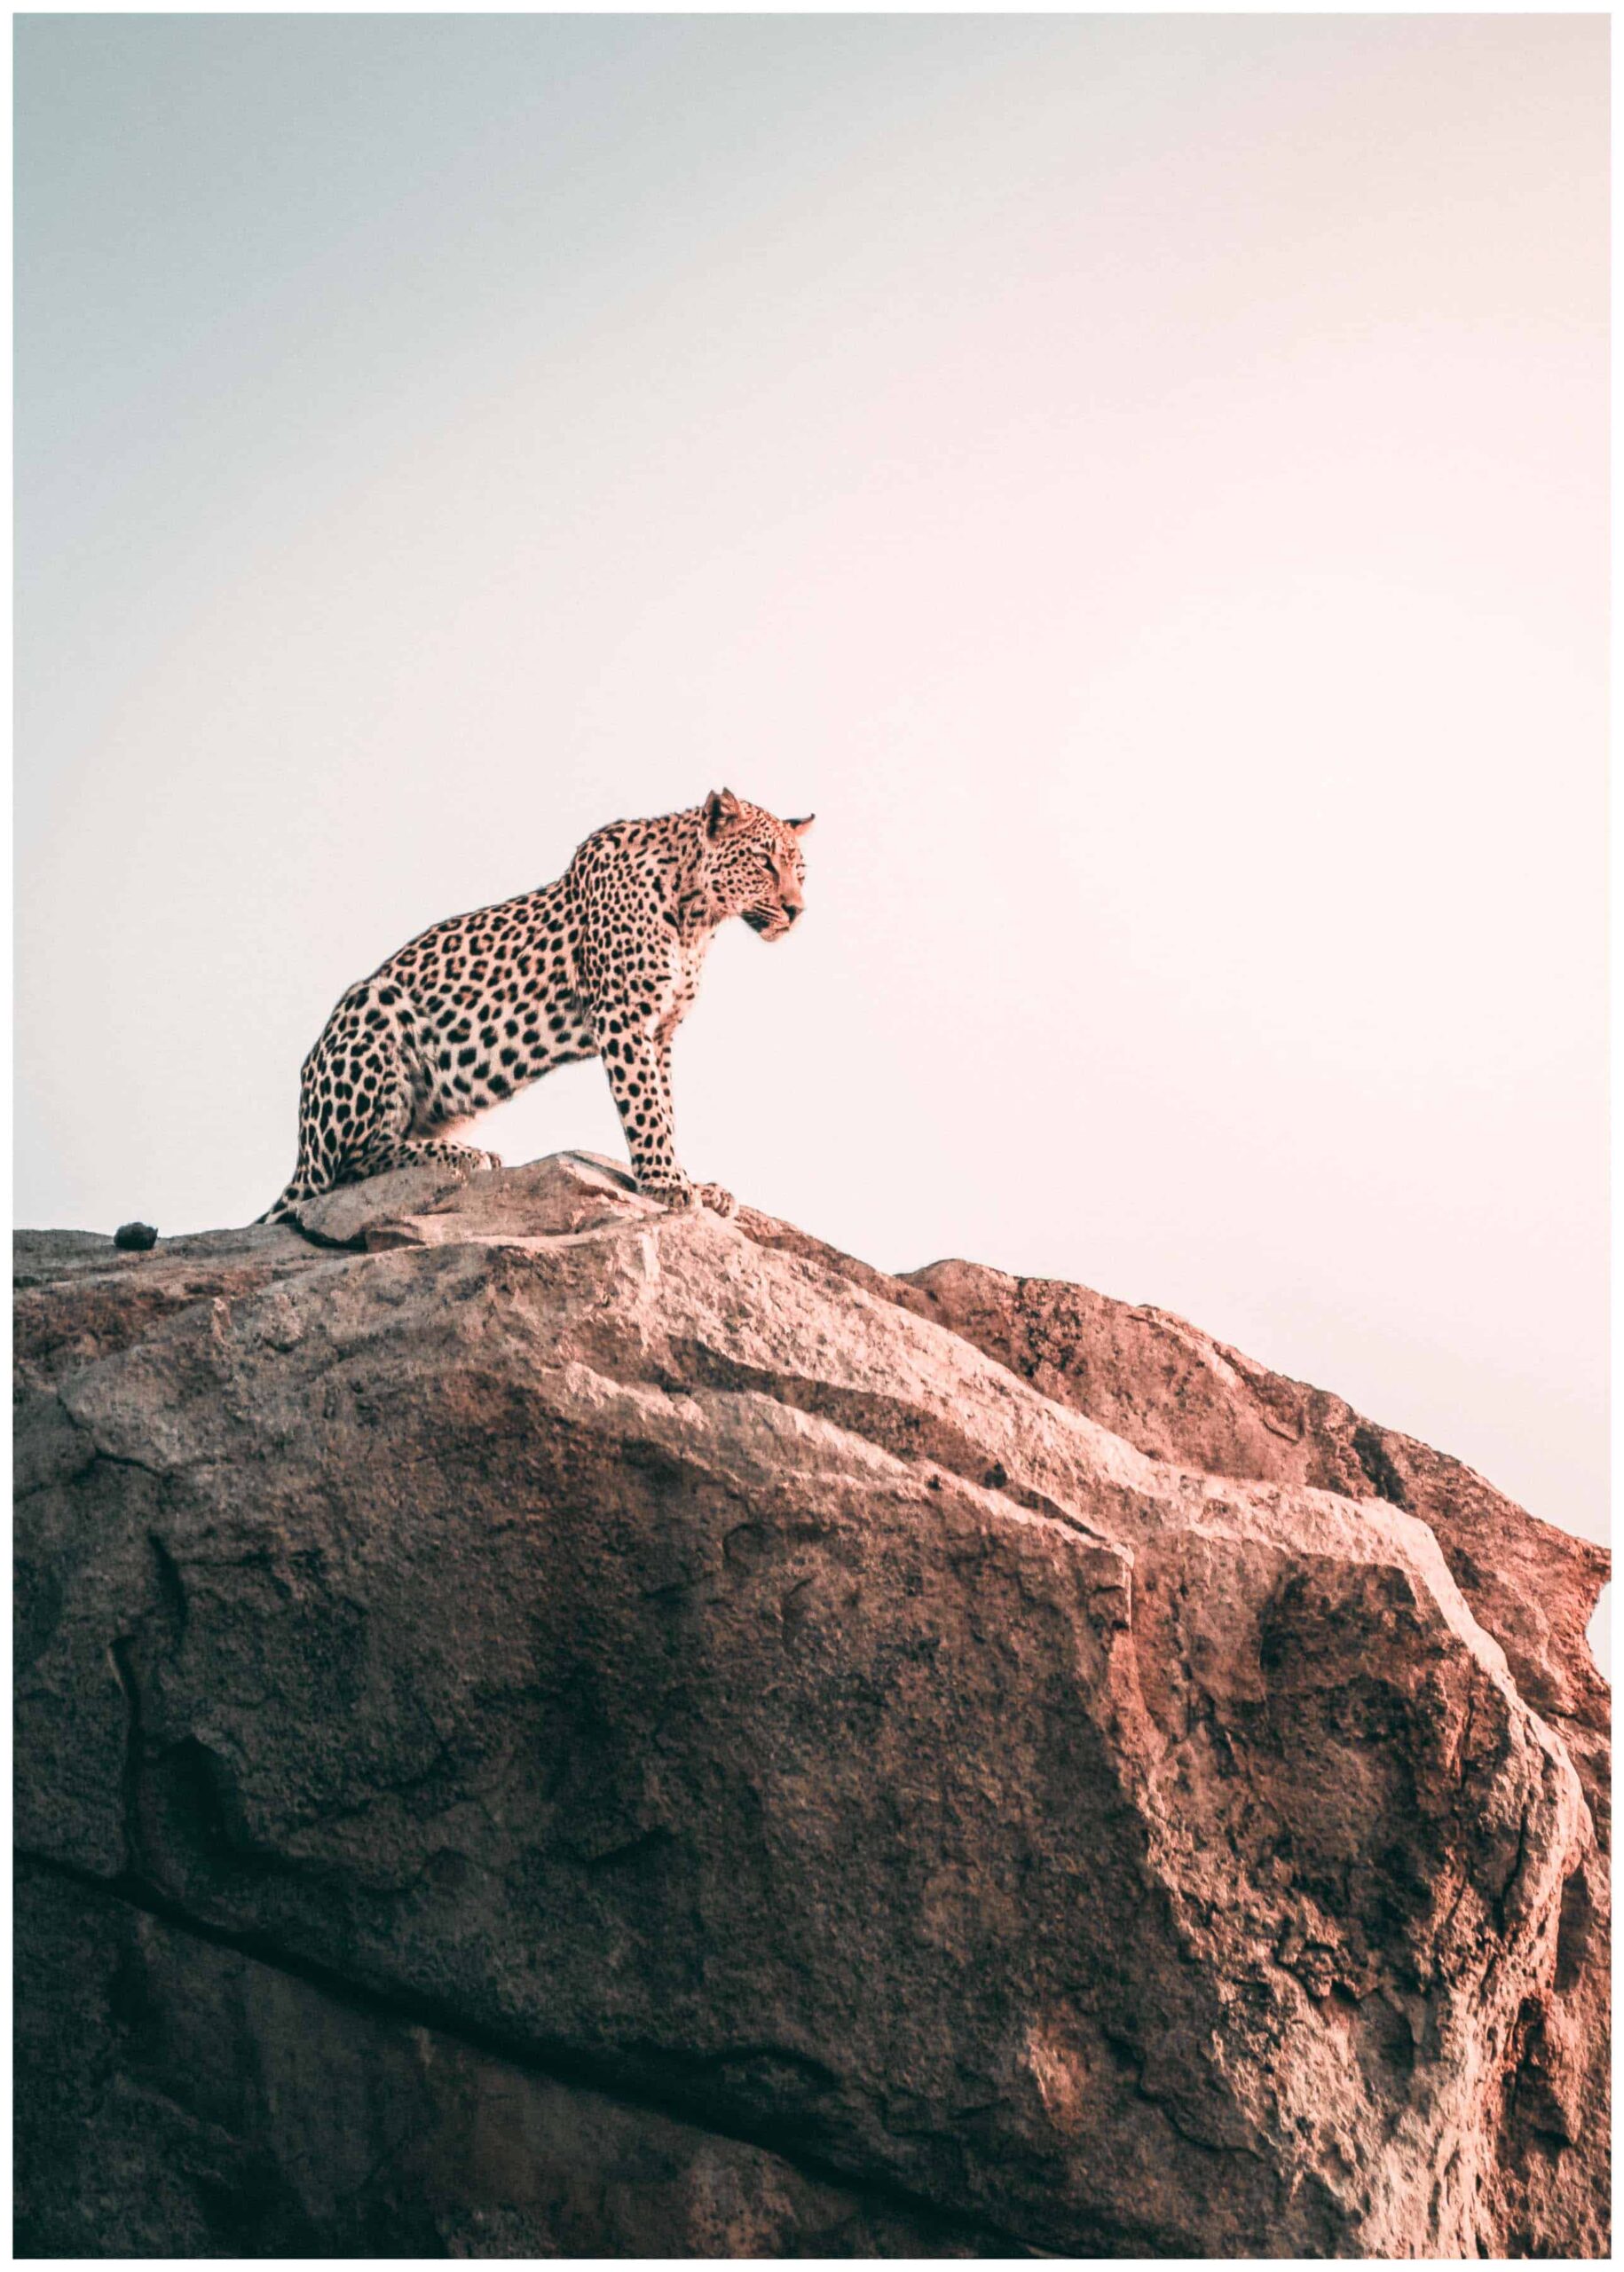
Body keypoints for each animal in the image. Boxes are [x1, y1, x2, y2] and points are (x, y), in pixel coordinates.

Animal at [258, 795, 813, 1235]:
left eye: (800, 871)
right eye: (764, 862)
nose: (797, 910)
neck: (698, 917)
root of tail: (301, 1152)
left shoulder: (661, 1032)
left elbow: (666, 1109)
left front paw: (688, 1179)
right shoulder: (623, 1017)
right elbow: (646, 1109)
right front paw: (666, 1184)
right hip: (373, 1004)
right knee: (348, 1166)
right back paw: (466, 1157)